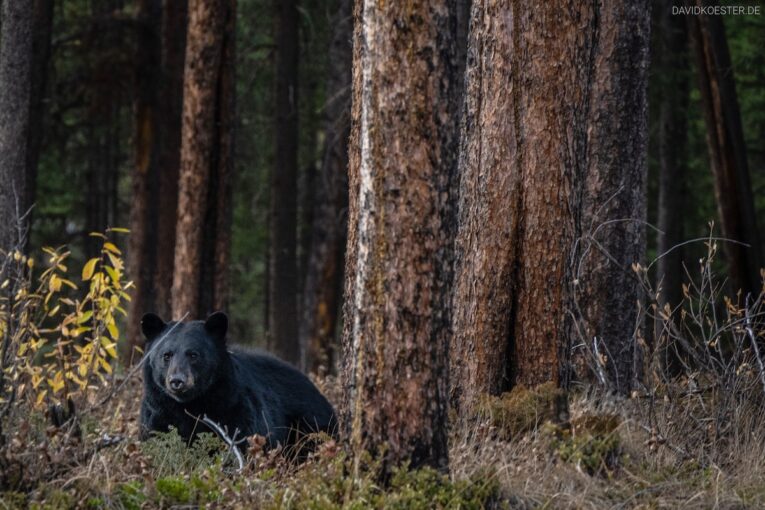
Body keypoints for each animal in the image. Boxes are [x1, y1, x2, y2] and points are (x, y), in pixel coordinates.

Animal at [139, 310, 336, 450]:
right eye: (166, 355)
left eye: (193, 354)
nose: (177, 381)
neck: (190, 405)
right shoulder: (157, 413)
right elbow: (155, 440)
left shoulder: (233, 408)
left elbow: (243, 440)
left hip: (311, 424)